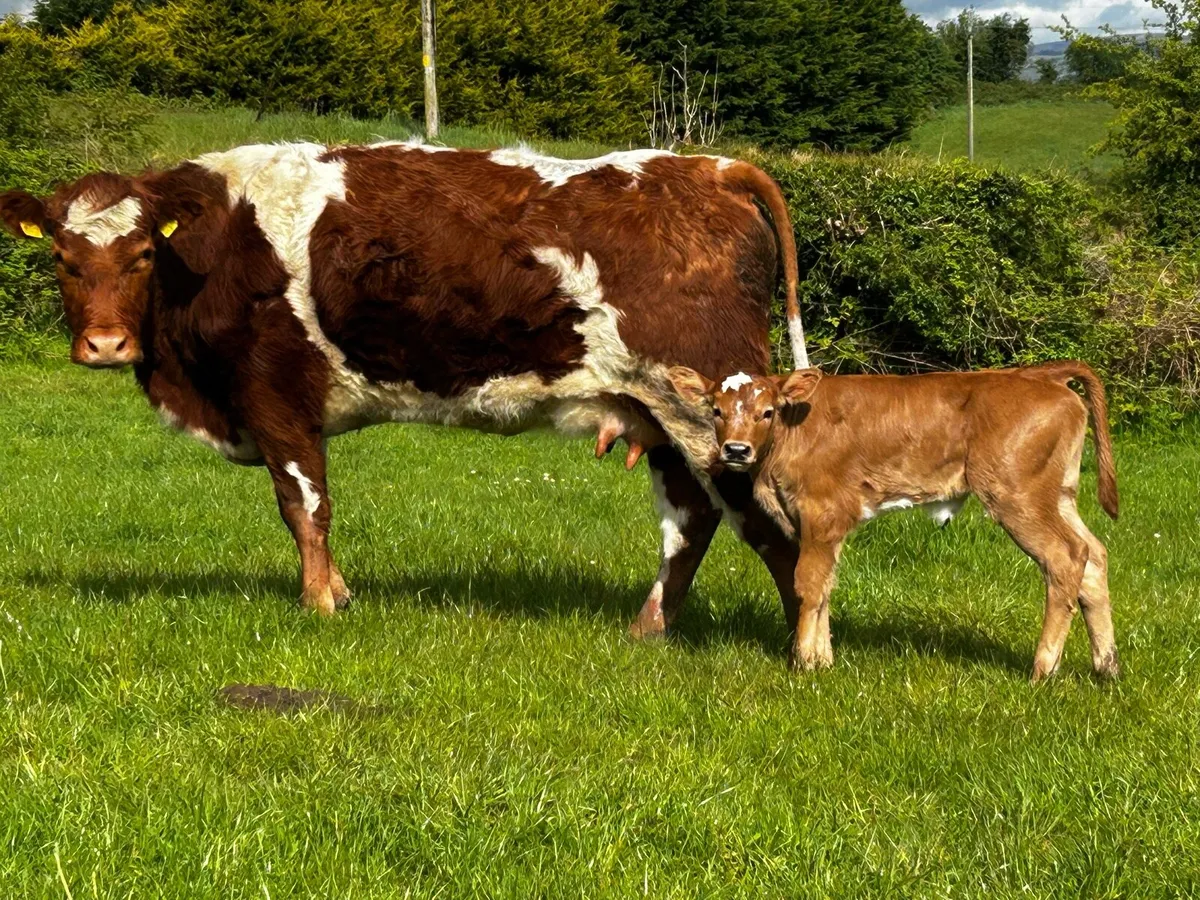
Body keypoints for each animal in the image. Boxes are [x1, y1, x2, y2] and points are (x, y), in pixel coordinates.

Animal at [0, 141, 808, 624]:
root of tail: (712, 167)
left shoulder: (277, 396)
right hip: (661, 416)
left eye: (142, 253)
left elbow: (305, 508)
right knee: (692, 521)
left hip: (718, 417)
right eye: (63, 258)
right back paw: (648, 629)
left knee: (766, 523)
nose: (106, 344)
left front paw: (319, 606)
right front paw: (338, 593)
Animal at [667, 362, 1120, 681]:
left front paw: (802, 662)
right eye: (716, 410)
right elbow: (826, 585)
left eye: (767, 411)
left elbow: (808, 585)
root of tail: (1038, 374)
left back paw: (1043, 669)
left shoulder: (822, 512)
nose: (736, 450)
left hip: (1017, 494)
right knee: (1094, 554)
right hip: (1058, 495)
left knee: (1065, 557)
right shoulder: (822, 525)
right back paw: (1107, 666)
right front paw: (824, 660)